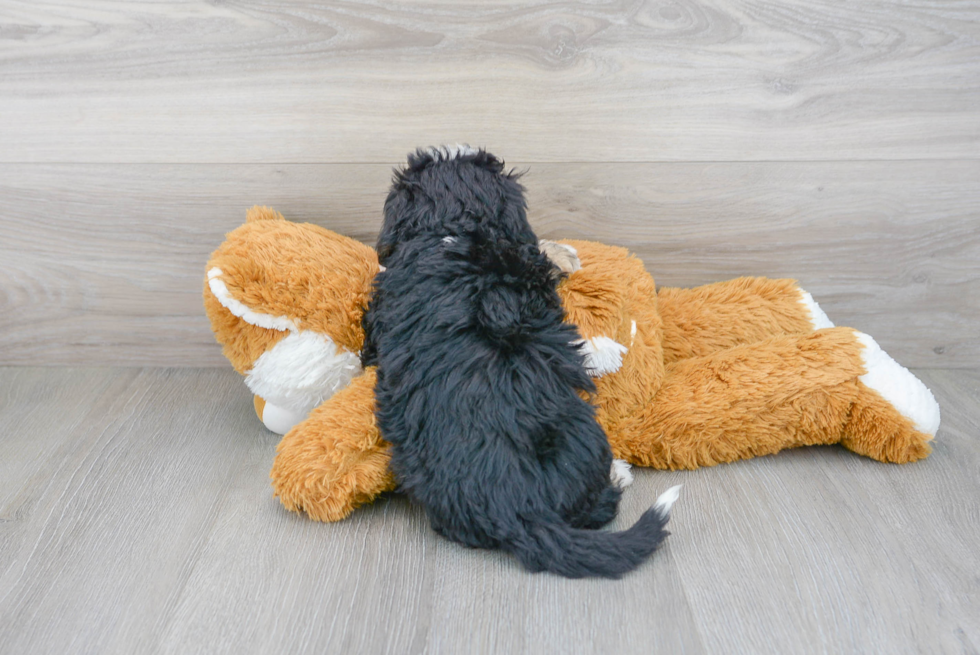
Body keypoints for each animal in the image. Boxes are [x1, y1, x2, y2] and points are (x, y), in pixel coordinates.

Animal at [364, 149, 676, 580]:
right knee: (597, 506)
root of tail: (518, 510)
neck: (447, 231)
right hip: (582, 432)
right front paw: (566, 260)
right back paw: (617, 472)